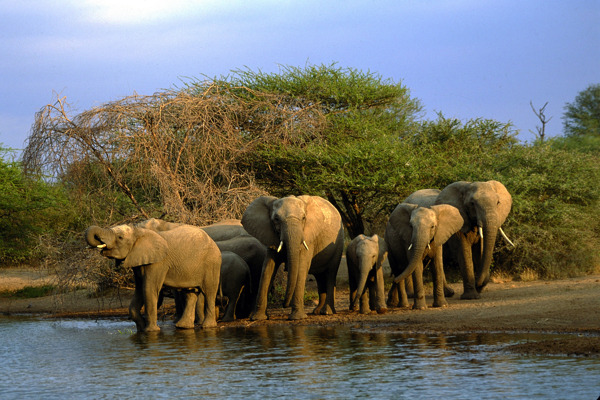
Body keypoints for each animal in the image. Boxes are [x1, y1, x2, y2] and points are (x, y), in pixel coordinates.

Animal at [85, 223, 221, 332]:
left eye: (120, 237)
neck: (139, 232)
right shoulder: (138, 263)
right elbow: (139, 291)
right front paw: (141, 329)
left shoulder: (158, 263)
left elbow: (148, 289)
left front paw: (151, 331)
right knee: (190, 293)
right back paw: (183, 327)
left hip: (211, 264)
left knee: (209, 293)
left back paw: (208, 327)